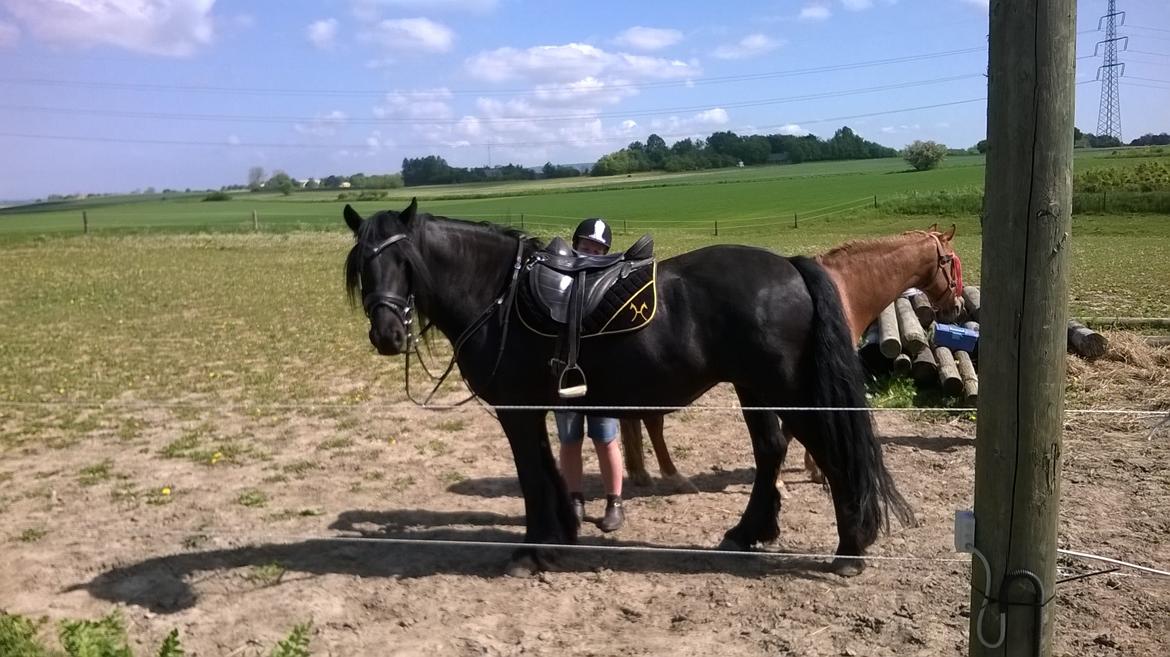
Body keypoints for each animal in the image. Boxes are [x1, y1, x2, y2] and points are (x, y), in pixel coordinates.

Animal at [341, 198, 917, 572]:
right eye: (362, 264)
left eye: (405, 261)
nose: (387, 335)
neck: (499, 296)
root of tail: (792, 268)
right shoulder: (539, 408)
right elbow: (548, 472)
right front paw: (560, 537)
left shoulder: (517, 410)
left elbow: (531, 476)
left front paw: (533, 550)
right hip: (754, 389)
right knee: (771, 450)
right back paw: (747, 533)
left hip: (784, 390)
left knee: (829, 452)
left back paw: (849, 550)